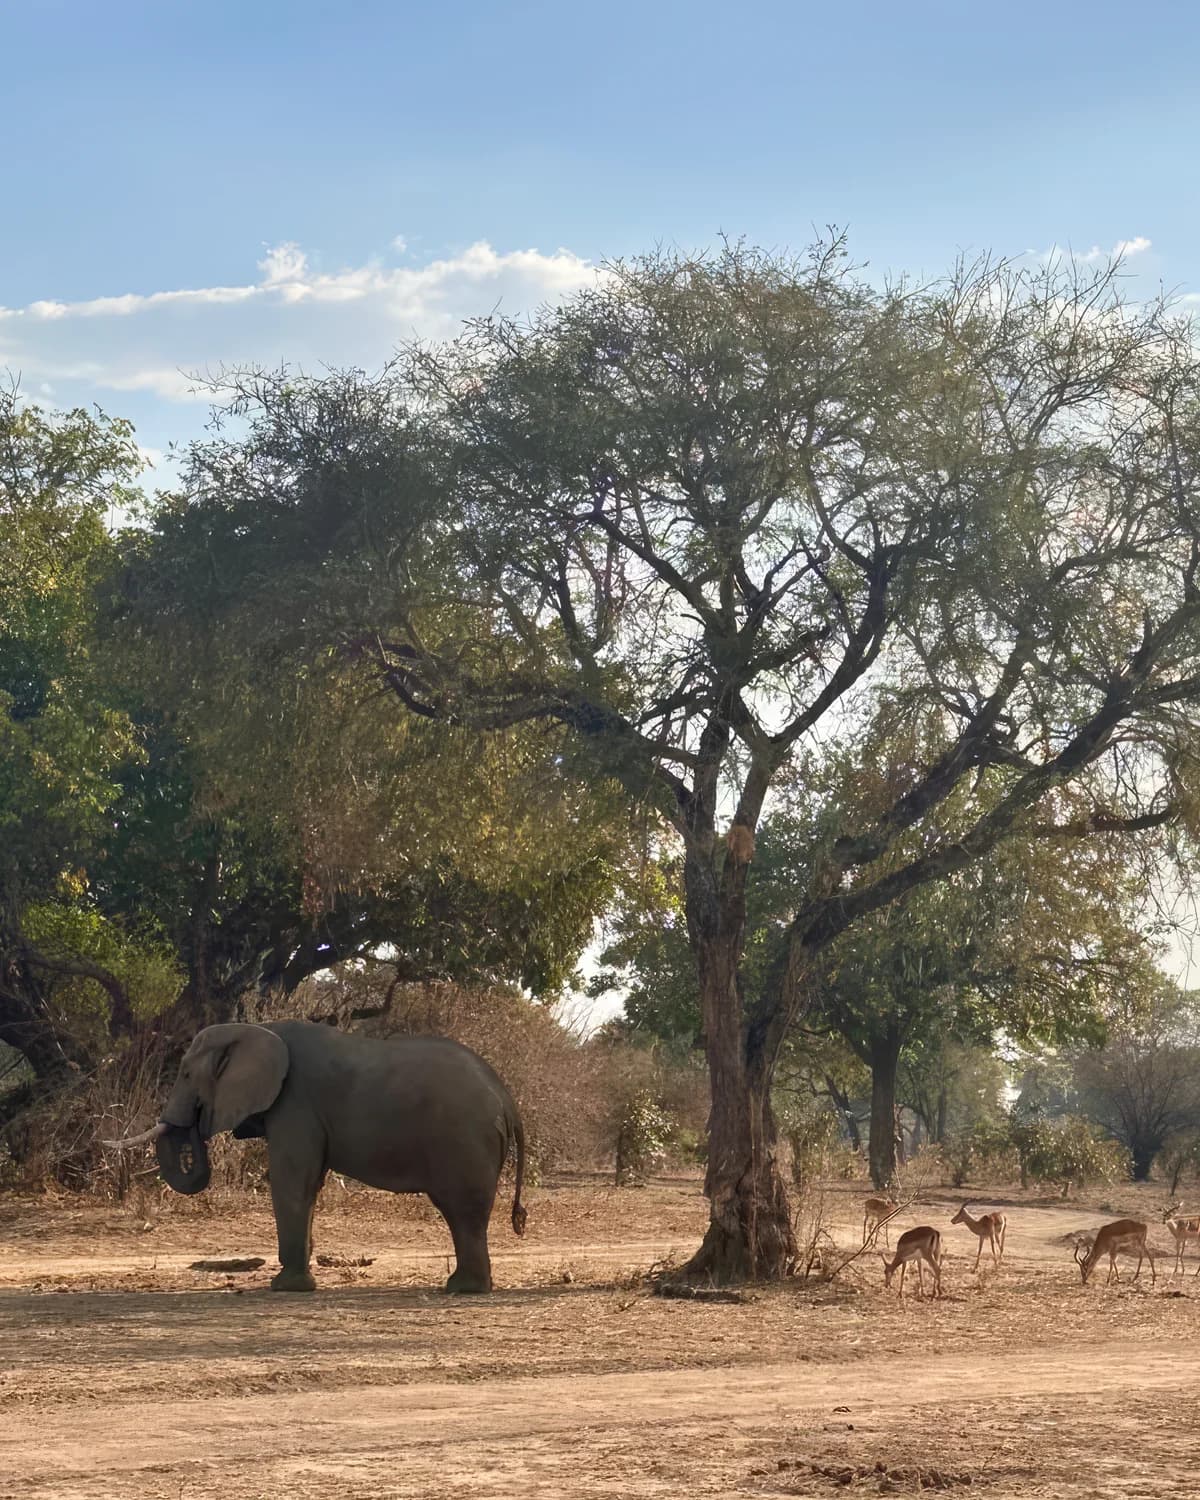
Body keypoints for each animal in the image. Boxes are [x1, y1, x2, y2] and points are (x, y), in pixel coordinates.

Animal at [109, 1020, 527, 1293]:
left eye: (184, 1074)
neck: (255, 1029)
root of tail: (507, 1099)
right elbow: (309, 1185)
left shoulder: (295, 1102)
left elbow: (293, 1179)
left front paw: (284, 1287)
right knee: (464, 1216)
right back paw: (465, 1287)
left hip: (464, 1141)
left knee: (461, 1211)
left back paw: (462, 1289)